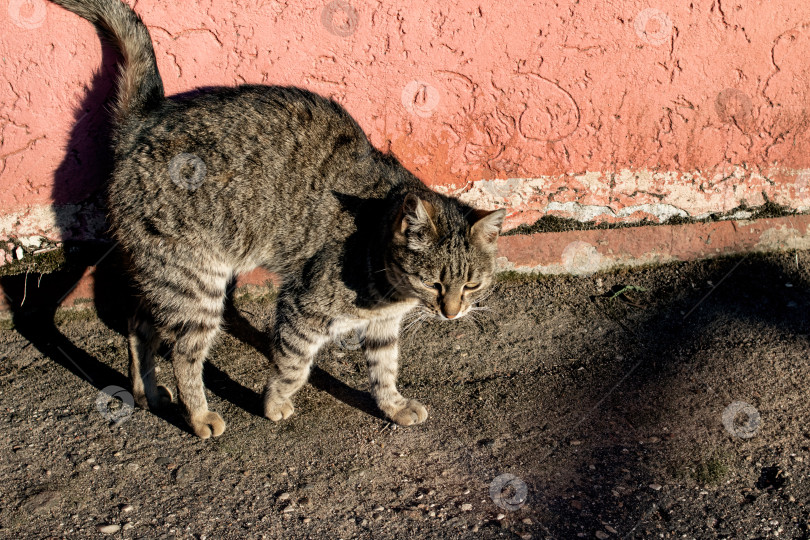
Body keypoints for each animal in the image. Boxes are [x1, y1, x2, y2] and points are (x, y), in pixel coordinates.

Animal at [47, 0, 502, 438]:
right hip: (196, 282)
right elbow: (293, 365)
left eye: (472, 285)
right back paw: (198, 415)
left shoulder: (383, 325)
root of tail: (143, 119)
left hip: (166, 274)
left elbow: (384, 369)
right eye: (435, 283)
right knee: (182, 353)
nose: (452, 313)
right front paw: (275, 403)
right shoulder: (302, 306)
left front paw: (392, 404)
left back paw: (148, 391)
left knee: (138, 324)